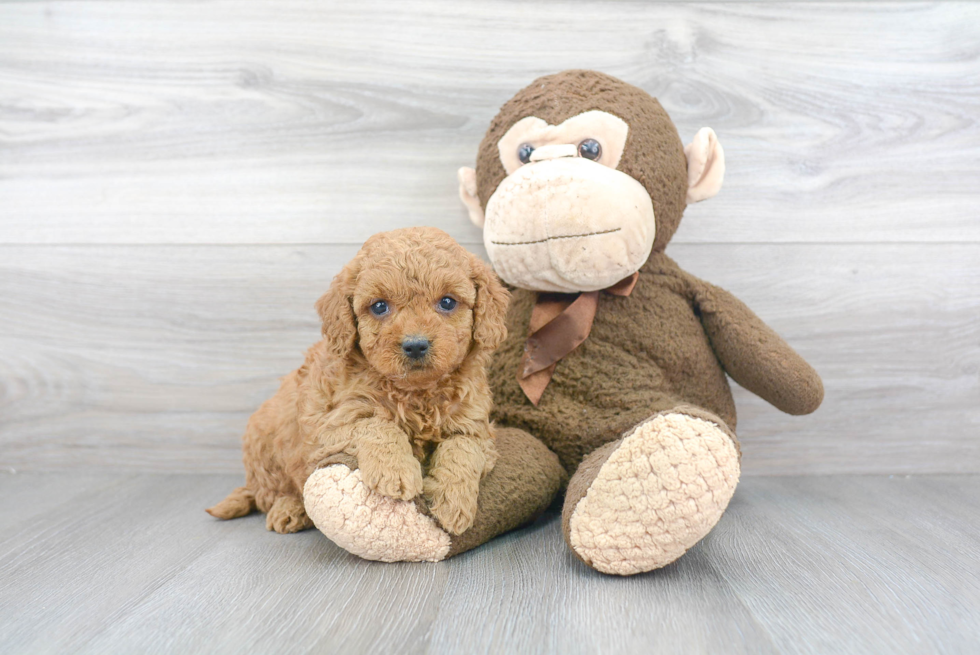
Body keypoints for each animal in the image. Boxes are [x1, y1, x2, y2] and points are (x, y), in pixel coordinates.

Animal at [209, 228, 512, 536]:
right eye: (379, 306)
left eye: (448, 302)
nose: (415, 345)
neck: (416, 393)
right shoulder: (330, 426)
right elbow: (378, 426)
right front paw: (396, 472)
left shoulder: (476, 427)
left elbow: (462, 449)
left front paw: (453, 502)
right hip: (263, 444)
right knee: (271, 492)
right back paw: (289, 509)